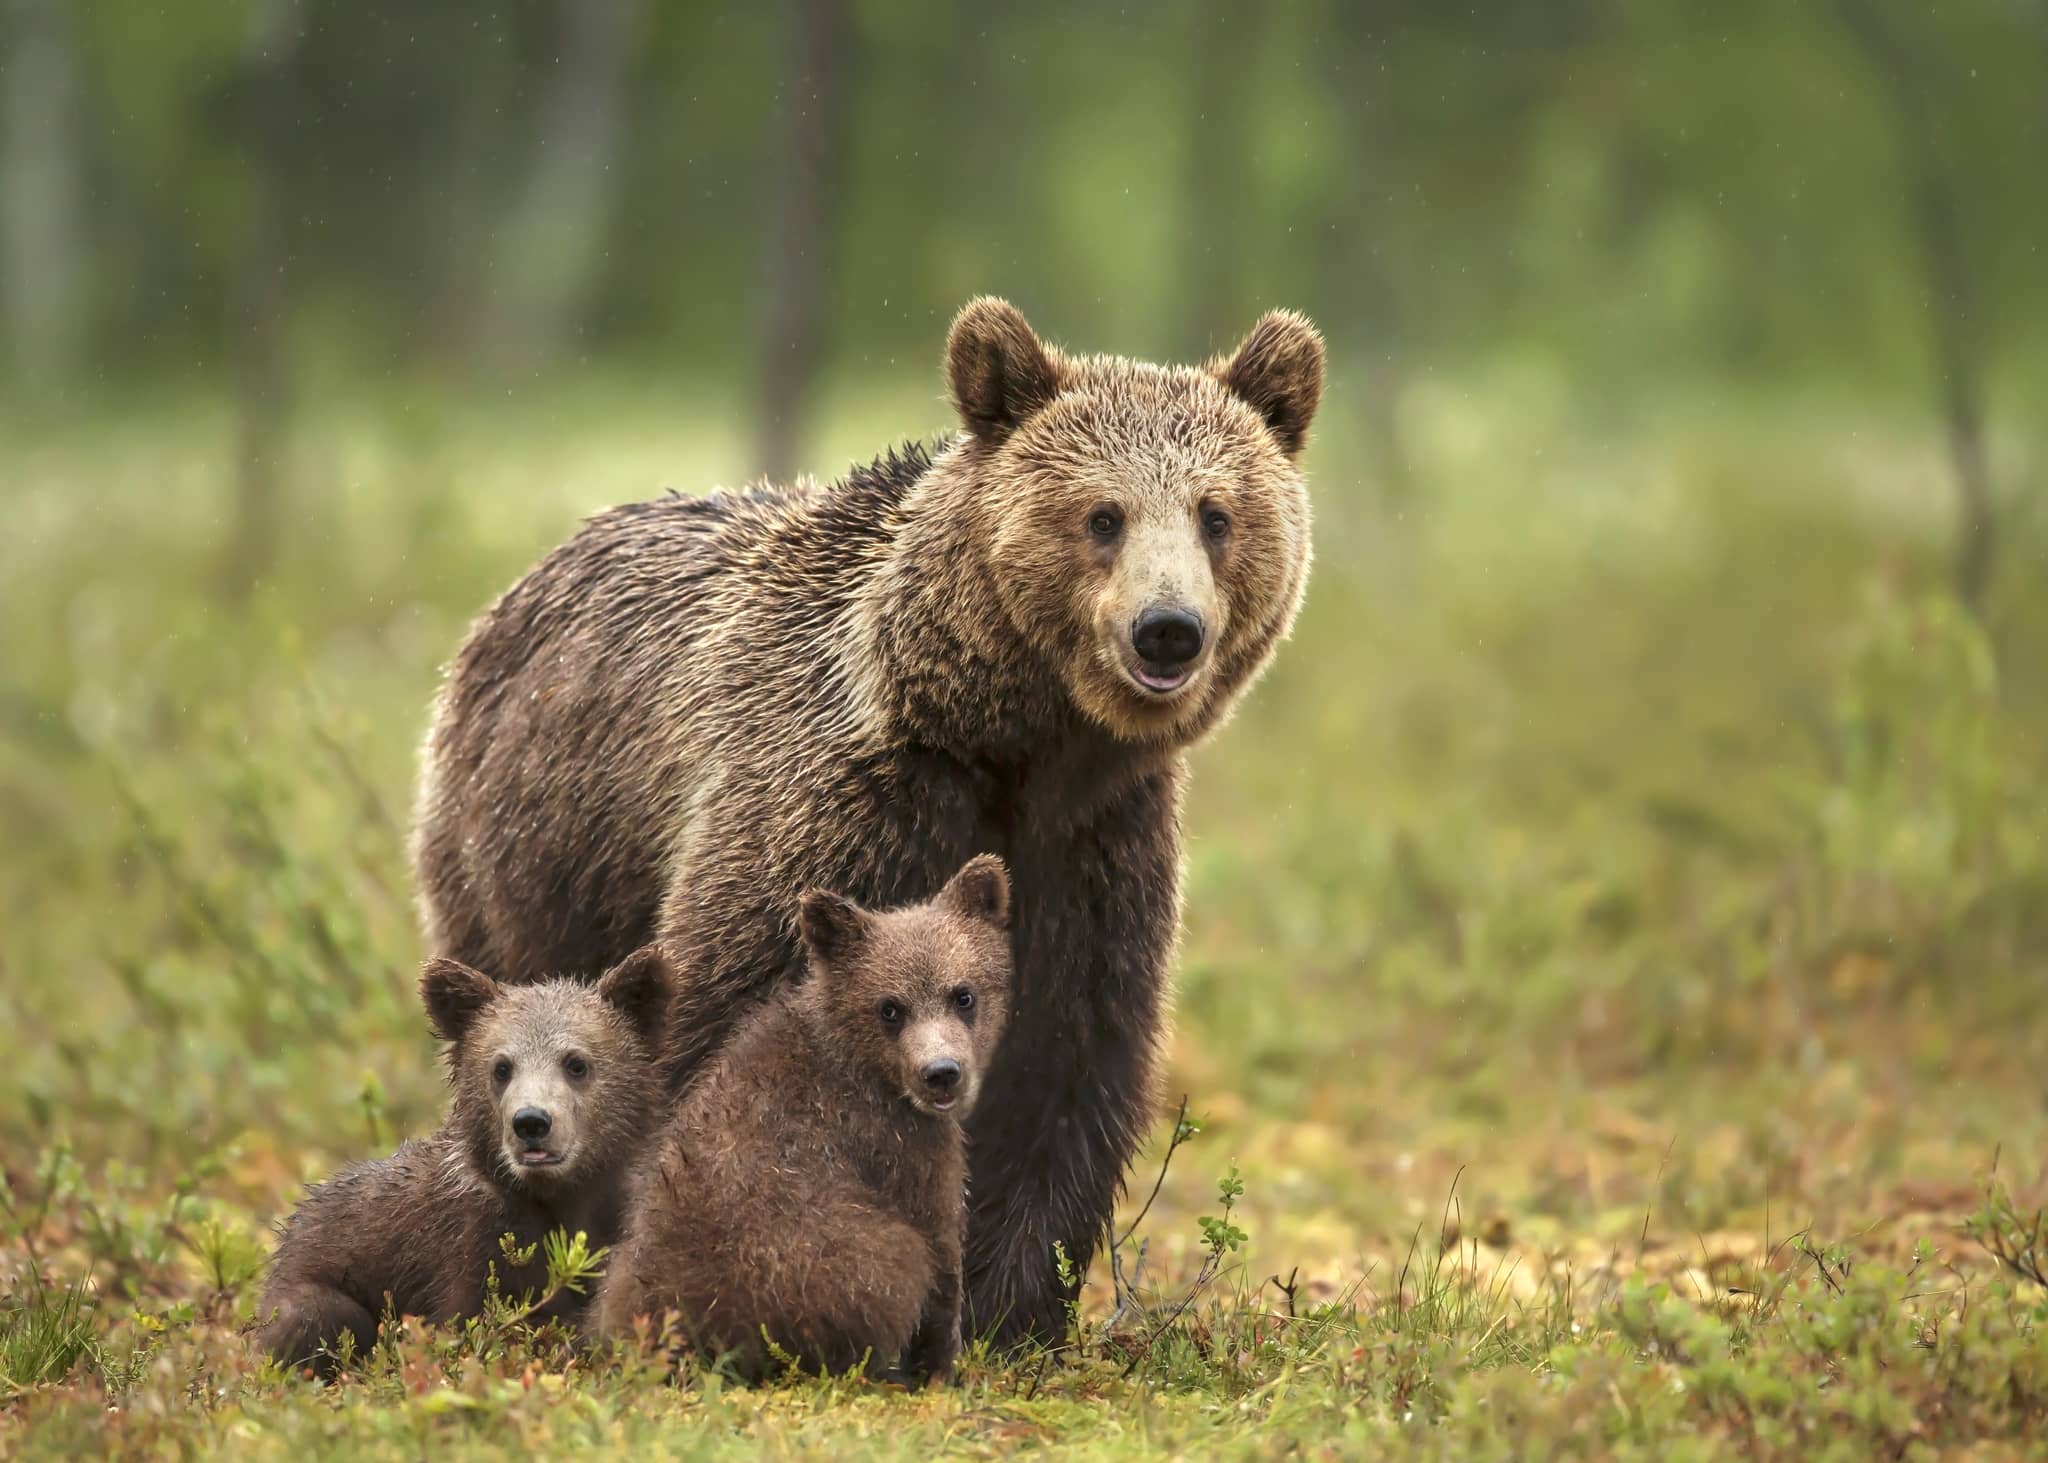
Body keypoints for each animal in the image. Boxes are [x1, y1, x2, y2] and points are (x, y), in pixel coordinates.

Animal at [411, 299, 1327, 1344]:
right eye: (1103, 515)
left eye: (1218, 515)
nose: (1168, 628)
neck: (1009, 742)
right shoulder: (837, 809)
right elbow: (721, 1028)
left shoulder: (1092, 846)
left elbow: (1065, 1062)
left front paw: (1011, 1306)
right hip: (531, 849)